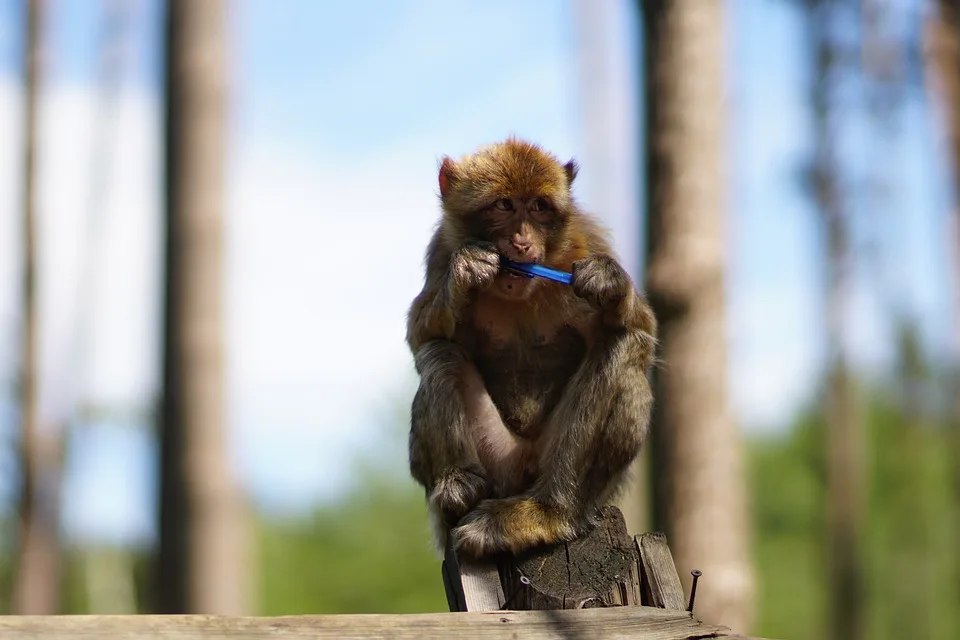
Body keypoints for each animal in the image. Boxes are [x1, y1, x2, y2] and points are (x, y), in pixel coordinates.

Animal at [404, 138, 660, 556]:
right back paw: (458, 486)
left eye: (539, 207)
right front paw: (467, 271)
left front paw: (610, 283)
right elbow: (420, 334)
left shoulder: (585, 241)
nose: (523, 242)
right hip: (499, 462)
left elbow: (642, 328)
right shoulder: (441, 250)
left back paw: (547, 512)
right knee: (440, 355)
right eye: (504, 205)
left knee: (623, 347)